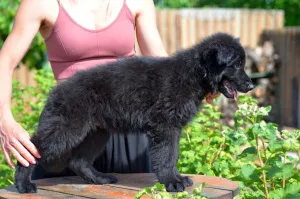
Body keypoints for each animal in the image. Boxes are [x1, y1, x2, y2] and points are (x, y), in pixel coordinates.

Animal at [14, 32, 253, 193]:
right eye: (236, 64)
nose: (251, 86)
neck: (193, 75)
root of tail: (55, 92)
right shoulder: (165, 127)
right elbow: (167, 155)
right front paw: (172, 182)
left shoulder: (172, 129)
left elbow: (173, 154)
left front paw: (177, 178)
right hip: (68, 128)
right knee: (33, 148)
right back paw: (23, 184)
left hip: (97, 132)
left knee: (78, 161)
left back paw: (100, 179)